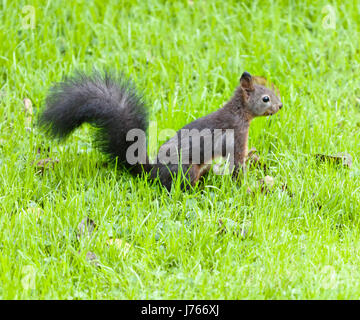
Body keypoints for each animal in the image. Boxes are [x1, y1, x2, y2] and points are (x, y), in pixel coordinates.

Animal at [38, 70, 282, 190]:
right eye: (265, 98)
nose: (280, 106)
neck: (239, 112)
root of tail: (151, 172)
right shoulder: (236, 135)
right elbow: (238, 164)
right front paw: (245, 185)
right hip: (186, 170)